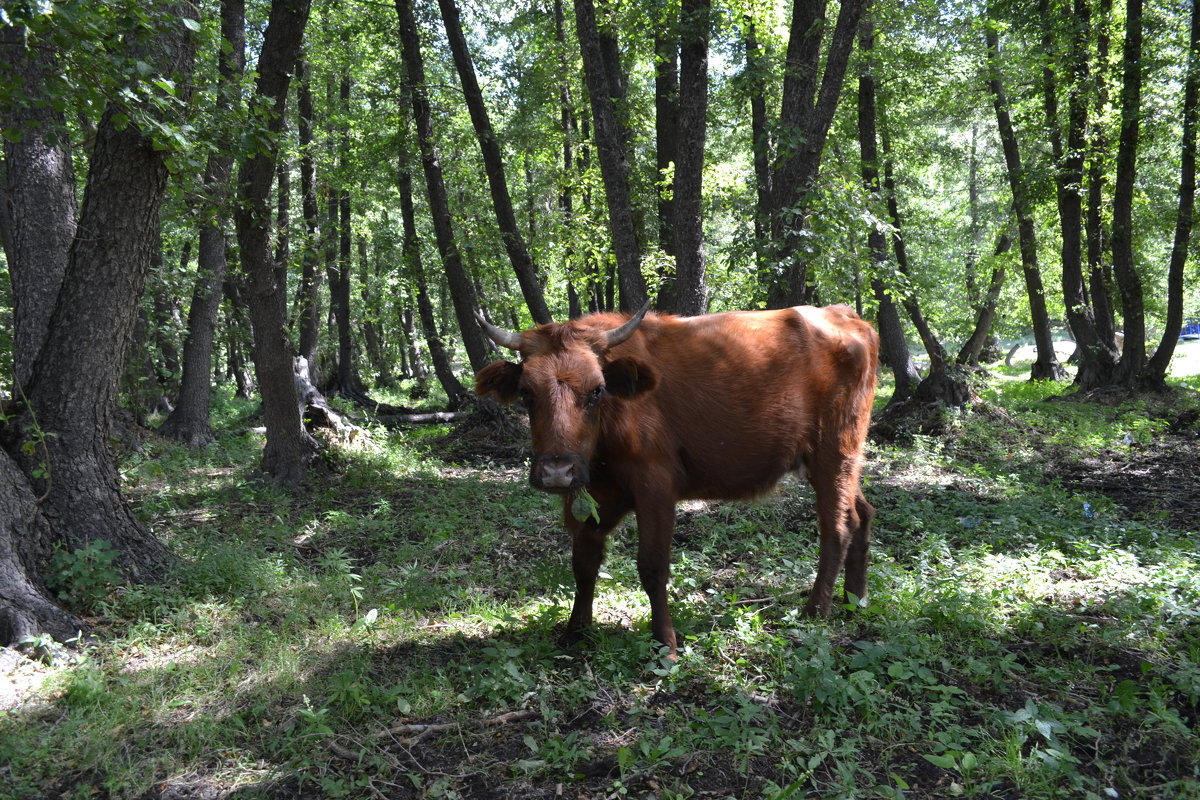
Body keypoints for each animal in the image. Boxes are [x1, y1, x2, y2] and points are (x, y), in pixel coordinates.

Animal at [472, 303, 878, 662]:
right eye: (527, 393)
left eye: (597, 390)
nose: (558, 471)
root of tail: (844, 315)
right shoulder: (588, 497)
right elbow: (584, 564)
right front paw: (576, 631)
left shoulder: (656, 488)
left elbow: (652, 566)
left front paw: (664, 644)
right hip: (841, 461)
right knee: (862, 514)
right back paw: (855, 601)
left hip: (833, 452)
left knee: (837, 527)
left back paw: (816, 610)